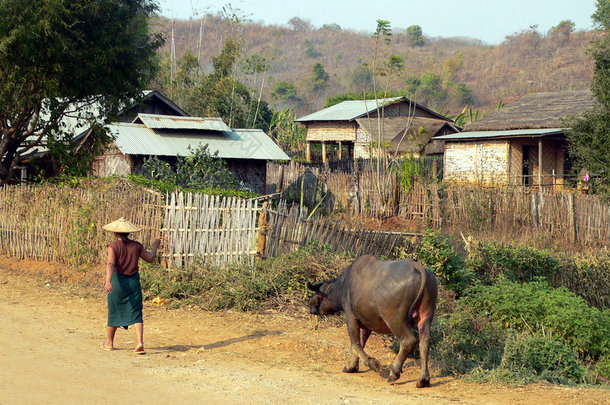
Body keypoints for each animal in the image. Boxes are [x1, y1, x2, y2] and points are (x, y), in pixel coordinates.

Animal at [306, 254, 434, 386]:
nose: (311, 310)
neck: (343, 286)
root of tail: (415, 266)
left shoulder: (351, 318)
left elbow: (355, 345)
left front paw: (373, 363)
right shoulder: (366, 325)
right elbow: (360, 344)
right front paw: (351, 367)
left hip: (394, 320)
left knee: (408, 341)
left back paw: (394, 373)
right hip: (425, 317)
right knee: (424, 343)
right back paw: (423, 380)